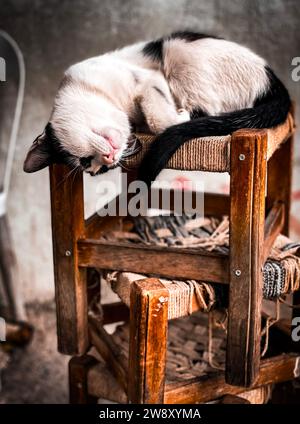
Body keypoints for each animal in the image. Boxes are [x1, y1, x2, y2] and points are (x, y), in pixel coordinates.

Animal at [23, 29, 290, 183]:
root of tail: (274, 82)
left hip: (179, 48)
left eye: (85, 161)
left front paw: (180, 116)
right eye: (90, 166)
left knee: (210, 110)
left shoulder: (150, 79)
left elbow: (156, 116)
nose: (108, 160)